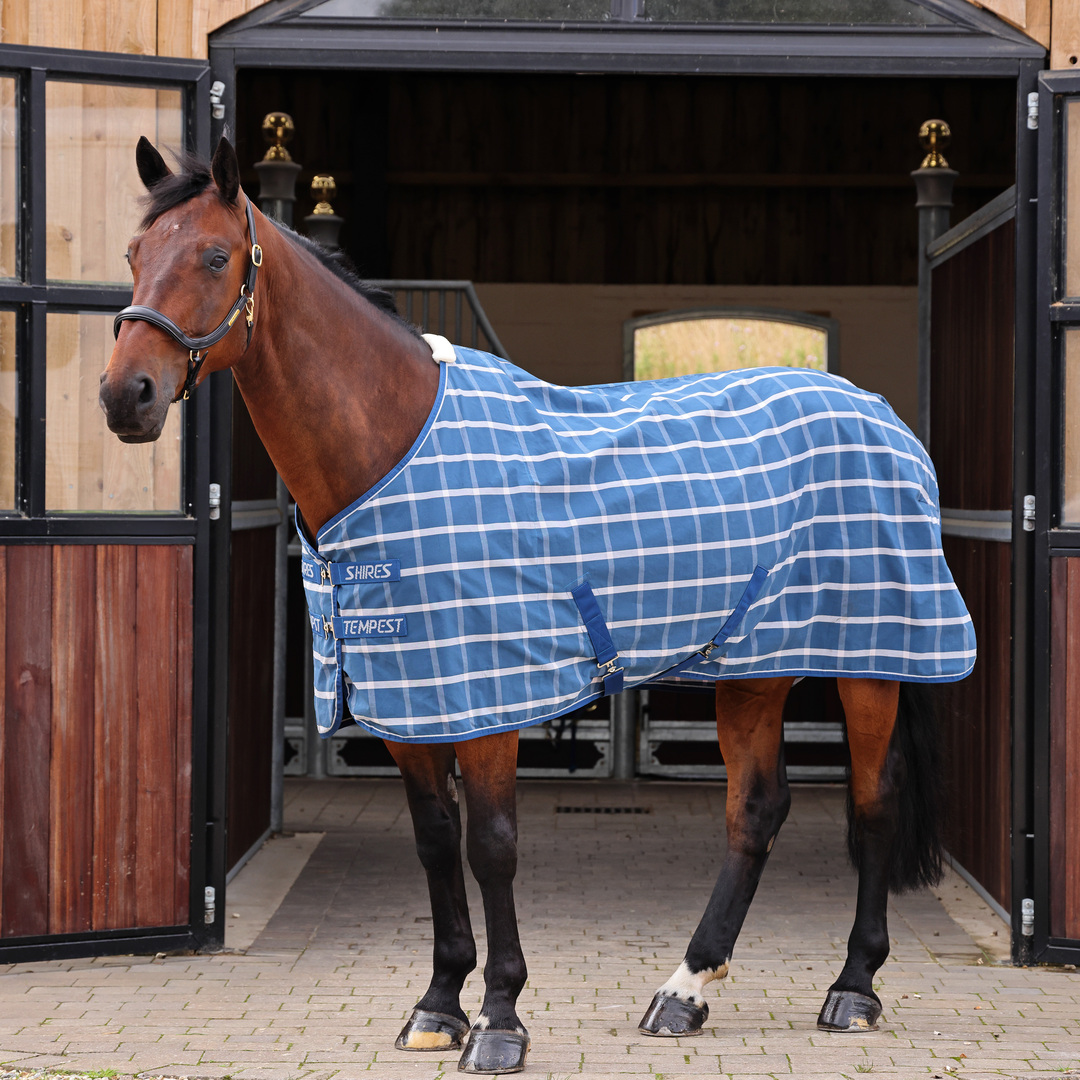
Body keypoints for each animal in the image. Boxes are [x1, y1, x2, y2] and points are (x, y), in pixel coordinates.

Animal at [100, 136, 975, 1075]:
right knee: (756, 810)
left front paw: (501, 1020)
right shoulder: (410, 697)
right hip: (756, 666)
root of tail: (880, 415)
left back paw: (853, 989)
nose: (125, 396)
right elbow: (435, 842)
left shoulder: (488, 700)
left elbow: (491, 847)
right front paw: (438, 1006)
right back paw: (684, 992)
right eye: (135, 254)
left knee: (873, 804)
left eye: (213, 256)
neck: (393, 446)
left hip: (868, 660)